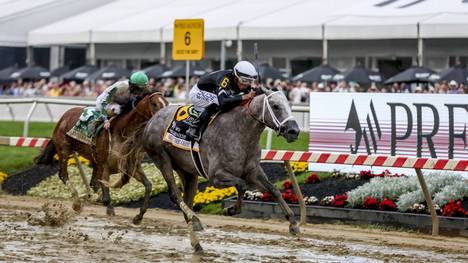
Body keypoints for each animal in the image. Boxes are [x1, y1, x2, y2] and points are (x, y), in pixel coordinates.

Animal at [36, 92, 168, 224]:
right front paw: (108, 208)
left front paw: (139, 216)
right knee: (64, 175)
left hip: (93, 161)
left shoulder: (131, 166)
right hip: (64, 149)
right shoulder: (105, 166)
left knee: (92, 183)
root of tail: (63, 117)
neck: (123, 132)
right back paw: (77, 202)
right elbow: (106, 196)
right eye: (154, 104)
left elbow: (148, 185)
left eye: (166, 103)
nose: (165, 123)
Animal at [121, 88, 300, 254]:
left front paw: (293, 223)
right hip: (161, 158)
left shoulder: (253, 172)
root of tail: (152, 119)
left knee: (186, 196)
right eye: (276, 106)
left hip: (186, 170)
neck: (241, 132)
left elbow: (274, 190)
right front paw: (230, 209)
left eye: (289, 105)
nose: (294, 131)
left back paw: (192, 223)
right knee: (175, 194)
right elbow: (242, 185)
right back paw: (192, 233)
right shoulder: (217, 177)